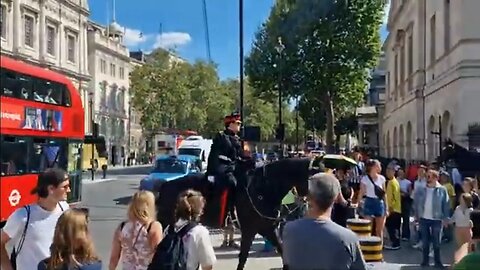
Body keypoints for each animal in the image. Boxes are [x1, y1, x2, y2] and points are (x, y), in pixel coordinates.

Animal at [157, 156, 322, 270]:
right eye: (316, 178)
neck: (263, 189)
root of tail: (165, 184)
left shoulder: (268, 229)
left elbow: (282, 251)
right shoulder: (249, 230)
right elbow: (243, 257)